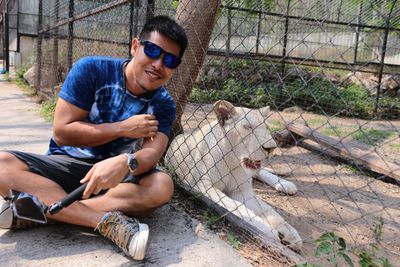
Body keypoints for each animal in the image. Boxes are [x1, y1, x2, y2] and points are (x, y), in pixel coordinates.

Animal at [164, 100, 302, 251]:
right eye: (248, 127)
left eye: (266, 127)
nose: (271, 148)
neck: (233, 160)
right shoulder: (202, 185)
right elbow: (236, 206)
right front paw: (269, 231)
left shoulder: (243, 191)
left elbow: (270, 211)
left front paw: (291, 234)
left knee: (261, 172)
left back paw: (285, 184)